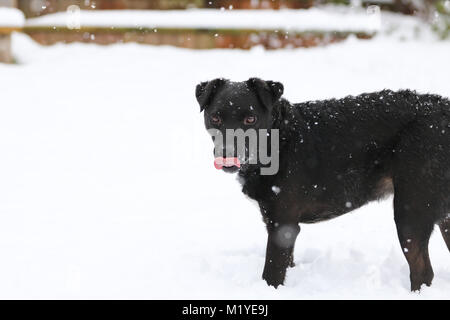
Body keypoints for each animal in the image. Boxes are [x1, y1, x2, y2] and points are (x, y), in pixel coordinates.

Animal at [196, 77, 450, 290]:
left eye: (251, 119)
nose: (227, 154)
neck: (279, 140)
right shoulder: (279, 222)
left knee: (423, 273)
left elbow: (272, 273)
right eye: (215, 117)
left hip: (411, 212)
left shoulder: (282, 224)